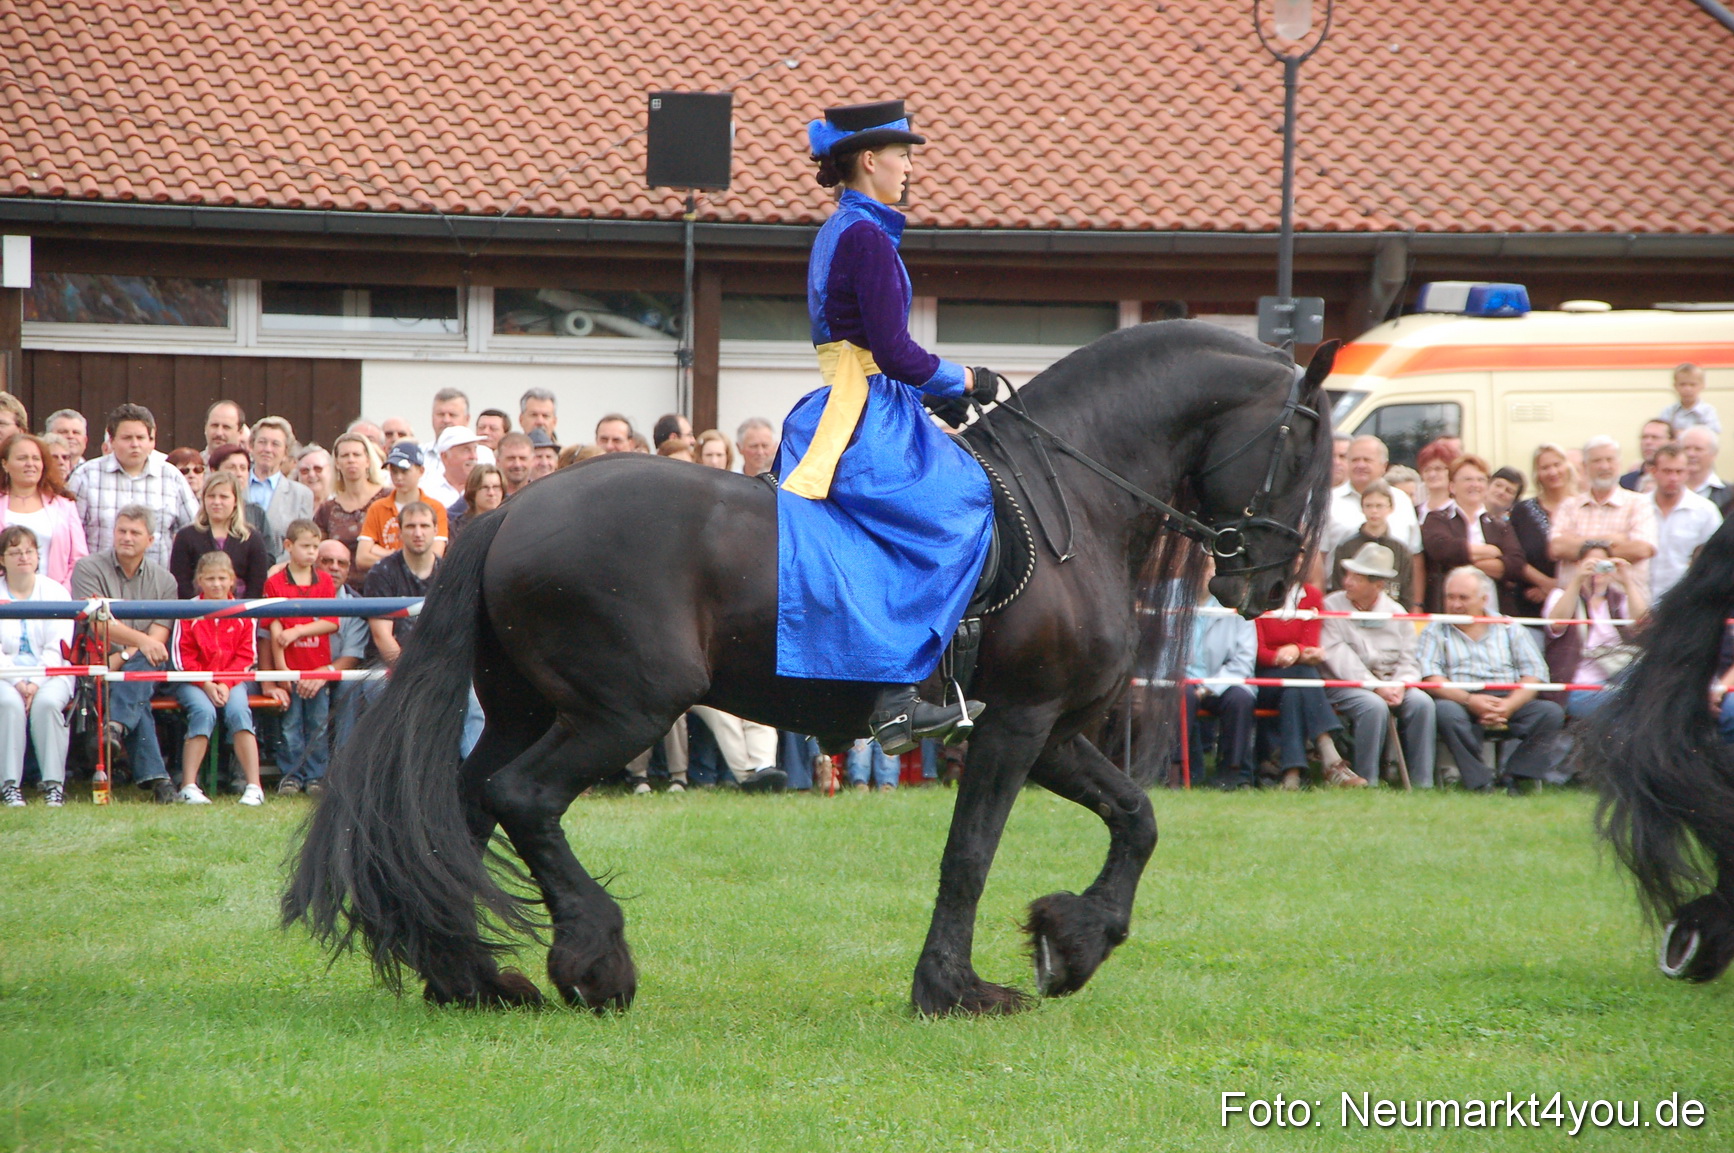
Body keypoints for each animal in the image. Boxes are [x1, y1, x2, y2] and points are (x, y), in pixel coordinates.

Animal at [284, 320, 1337, 1015]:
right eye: (1301, 448)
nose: (1268, 582)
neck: (1071, 499)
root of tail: (510, 511)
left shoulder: (1052, 731)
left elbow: (1138, 817)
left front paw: (1071, 944)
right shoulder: (1017, 723)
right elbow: (970, 852)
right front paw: (954, 987)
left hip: (525, 709)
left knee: (458, 811)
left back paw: (470, 976)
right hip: (623, 712)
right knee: (521, 798)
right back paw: (595, 961)